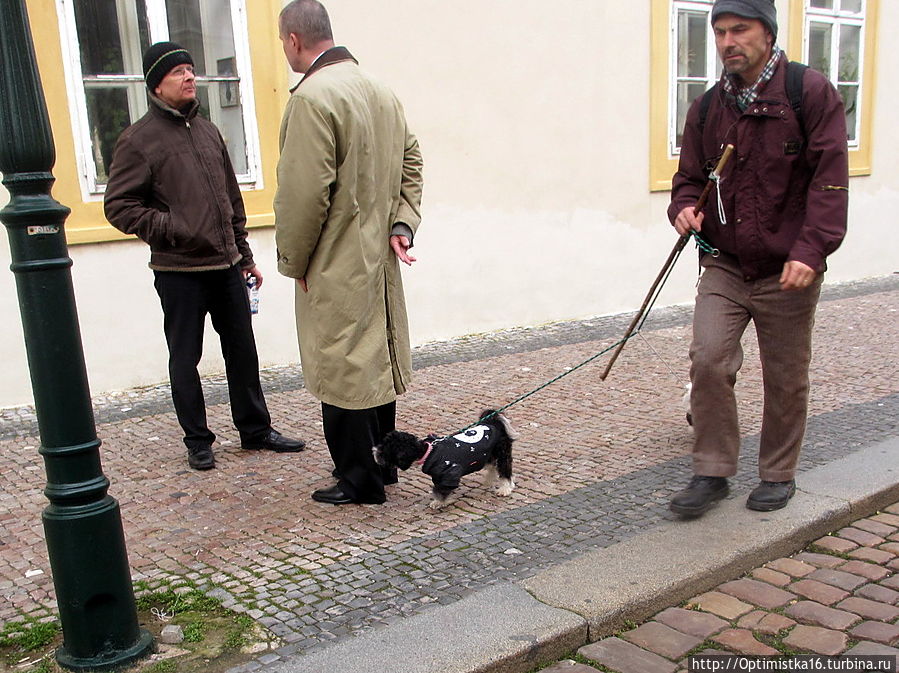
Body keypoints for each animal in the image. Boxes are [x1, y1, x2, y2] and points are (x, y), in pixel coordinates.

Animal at [374, 410, 520, 510]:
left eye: (385, 450)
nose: (374, 451)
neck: (428, 452)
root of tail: (494, 423)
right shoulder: (438, 476)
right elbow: (439, 488)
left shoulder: (450, 473)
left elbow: (441, 491)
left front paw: (439, 502)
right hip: (488, 455)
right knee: (493, 467)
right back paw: (489, 480)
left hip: (502, 453)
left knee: (505, 470)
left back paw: (505, 489)